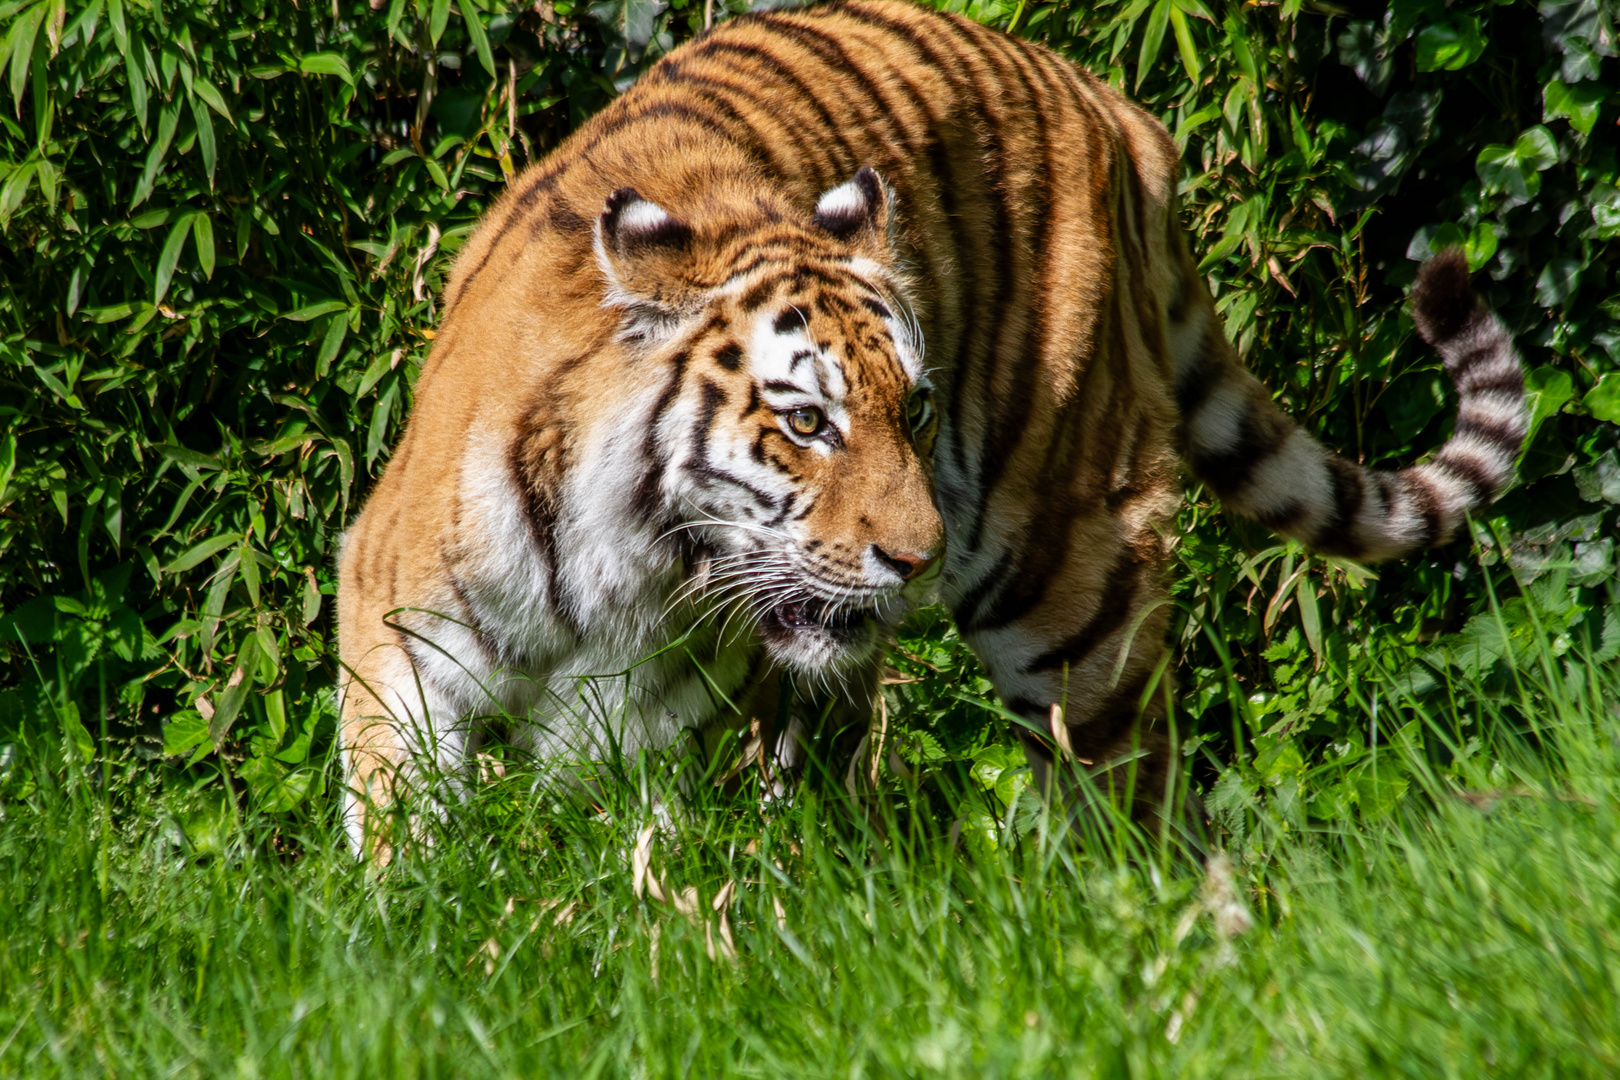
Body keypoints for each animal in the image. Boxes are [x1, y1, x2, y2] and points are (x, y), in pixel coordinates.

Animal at [335, 2, 1522, 861]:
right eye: (806, 422)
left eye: (911, 411)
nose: (917, 559)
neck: (626, 567)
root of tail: (1107, 100)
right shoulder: (399, 635)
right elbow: (405, 840)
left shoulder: (666, 723)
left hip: (1069, 578)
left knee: (1135, 799)